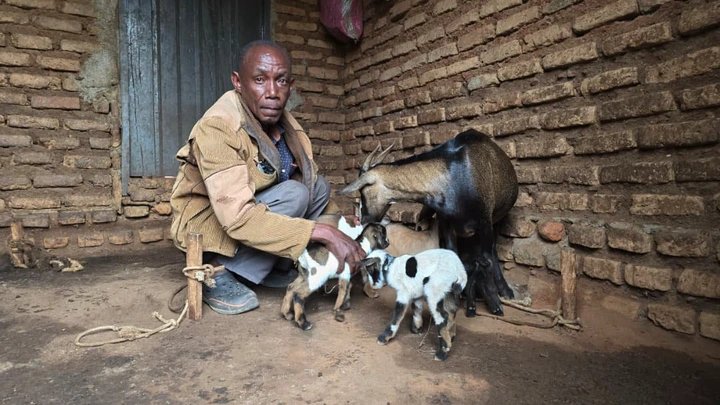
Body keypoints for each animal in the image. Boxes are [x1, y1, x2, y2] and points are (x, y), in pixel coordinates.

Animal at [340, 129, 518, 317]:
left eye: (362, 191)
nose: (364, 220)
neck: (451, 179)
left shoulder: (485, 222)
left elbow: (487, 259)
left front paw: (495, 302)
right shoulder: (447, 223)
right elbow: (453, 253)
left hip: (496, 219)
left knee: (492, 252)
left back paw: (505, 291)